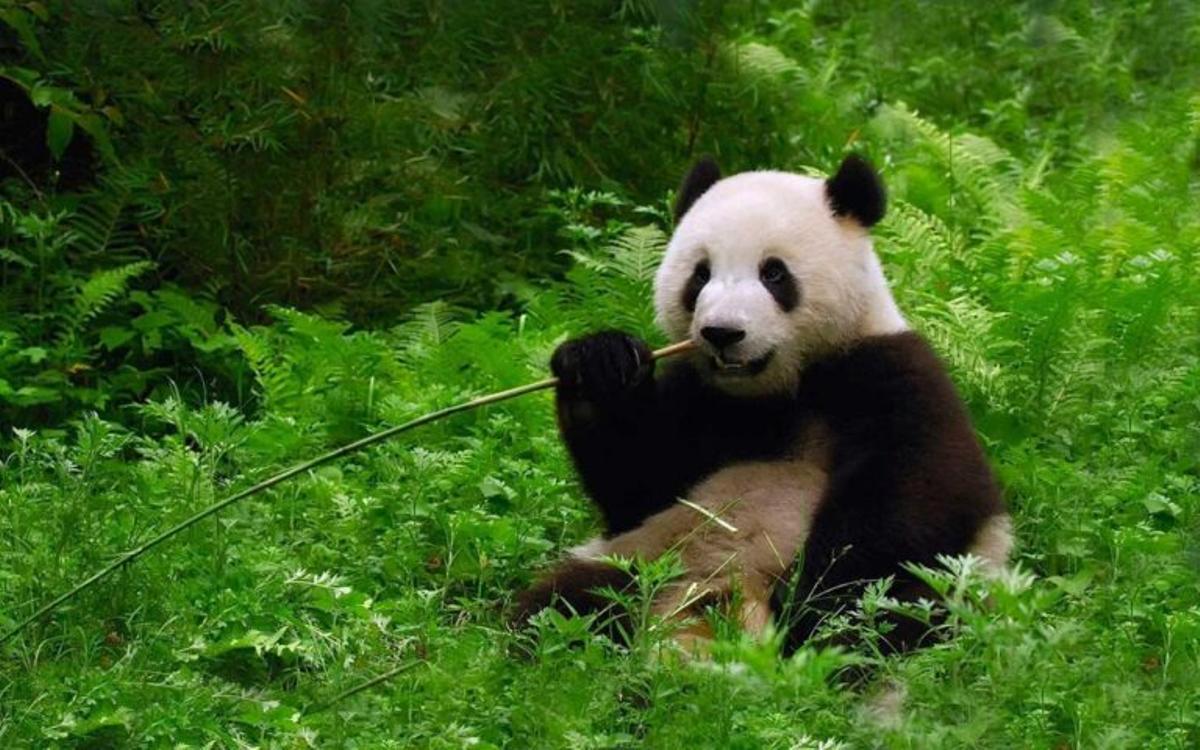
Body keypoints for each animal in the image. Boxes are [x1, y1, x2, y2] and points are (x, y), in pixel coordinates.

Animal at [511, 155, 1013, 656]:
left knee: (893, 617)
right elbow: (637, 483)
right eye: (700, 274)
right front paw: (599, 363)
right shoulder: (698, 397)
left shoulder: (891, 374)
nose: (722, 333)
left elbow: (914, 494)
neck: (777, 391)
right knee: (569, 600)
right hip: (649, 556)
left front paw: (806, 595)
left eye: (774, 273)